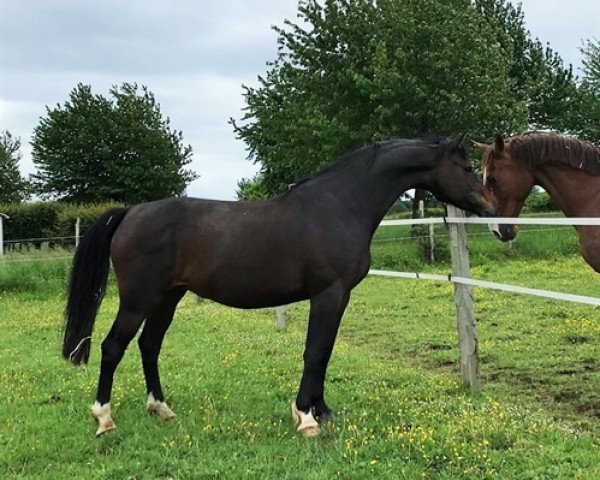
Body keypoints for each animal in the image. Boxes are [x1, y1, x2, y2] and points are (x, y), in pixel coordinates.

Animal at [64, 135, 496, 436]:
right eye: (467, 167)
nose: (492, 208)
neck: (338, 206)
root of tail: (131, 212)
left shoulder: (341, 297)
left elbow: (325, 352)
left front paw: (323, 410)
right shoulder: (327, 294)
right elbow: (314, 351)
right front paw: (306, 417)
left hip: (168, 297)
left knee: (149, 345)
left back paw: (161, 408)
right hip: (138, 300)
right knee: (112, 348)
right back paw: (104, 418)